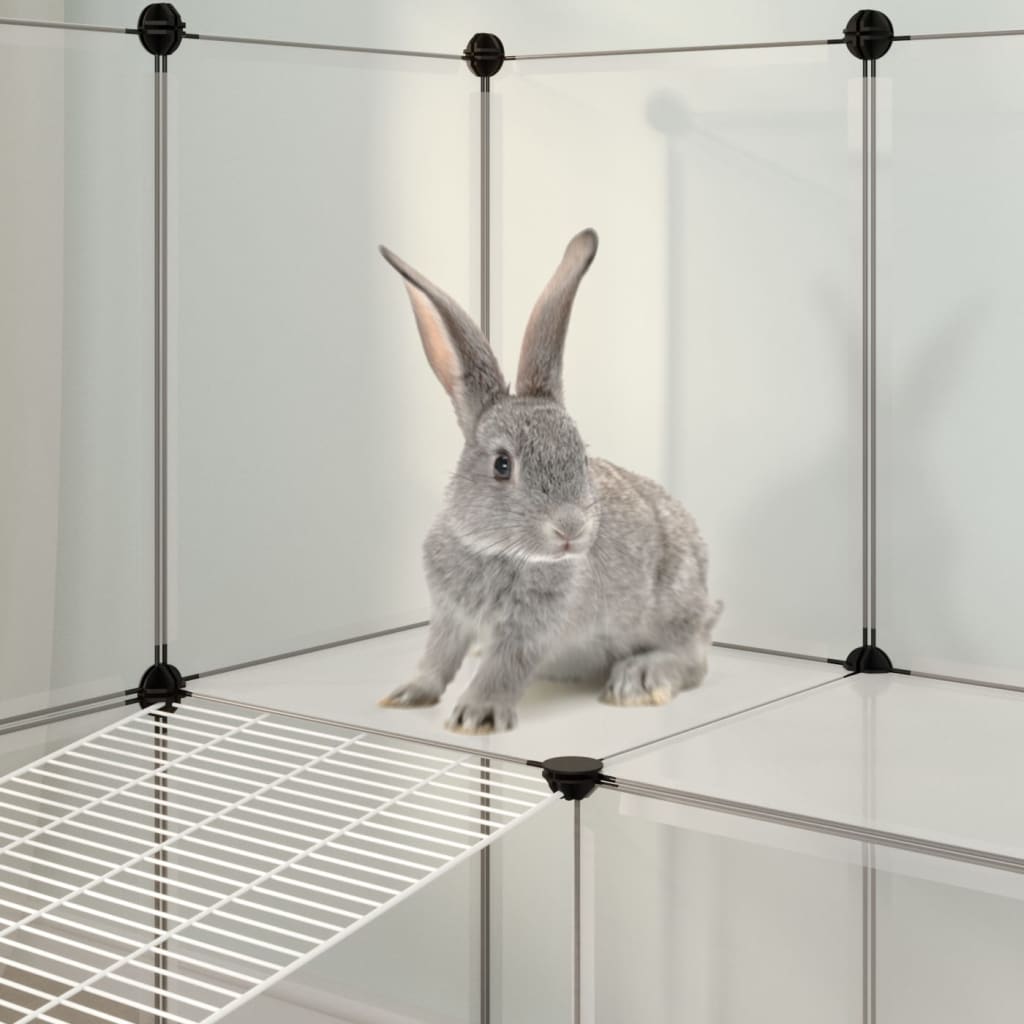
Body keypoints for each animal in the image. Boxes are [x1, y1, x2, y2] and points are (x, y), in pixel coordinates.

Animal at [378, 228, 722, 734]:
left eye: (581, 455)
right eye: (502, 465)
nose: (570, 528)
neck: (496, 550)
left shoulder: (532, 628)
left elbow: (503, 668)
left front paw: (476, 715)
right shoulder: (448, 616)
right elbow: (437, 657)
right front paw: (408, 695)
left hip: (672, 605)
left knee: (693, 658)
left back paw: (637, 680)